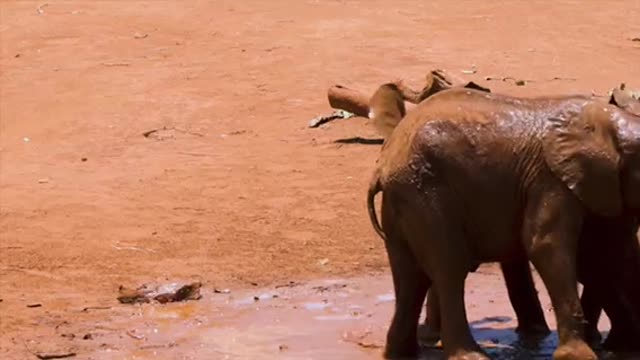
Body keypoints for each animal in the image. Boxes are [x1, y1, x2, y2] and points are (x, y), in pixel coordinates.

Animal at [364, 85, 640, 360]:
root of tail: (383, 163)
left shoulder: (602, 188)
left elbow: (609, 255)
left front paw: (622, 347)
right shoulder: (551, 180)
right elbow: (546, 246)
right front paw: (578, 356)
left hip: (404, 198)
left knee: (410, 276)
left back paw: (401, 353)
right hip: (425, 192)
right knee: (448, 268)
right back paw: (470, 355)